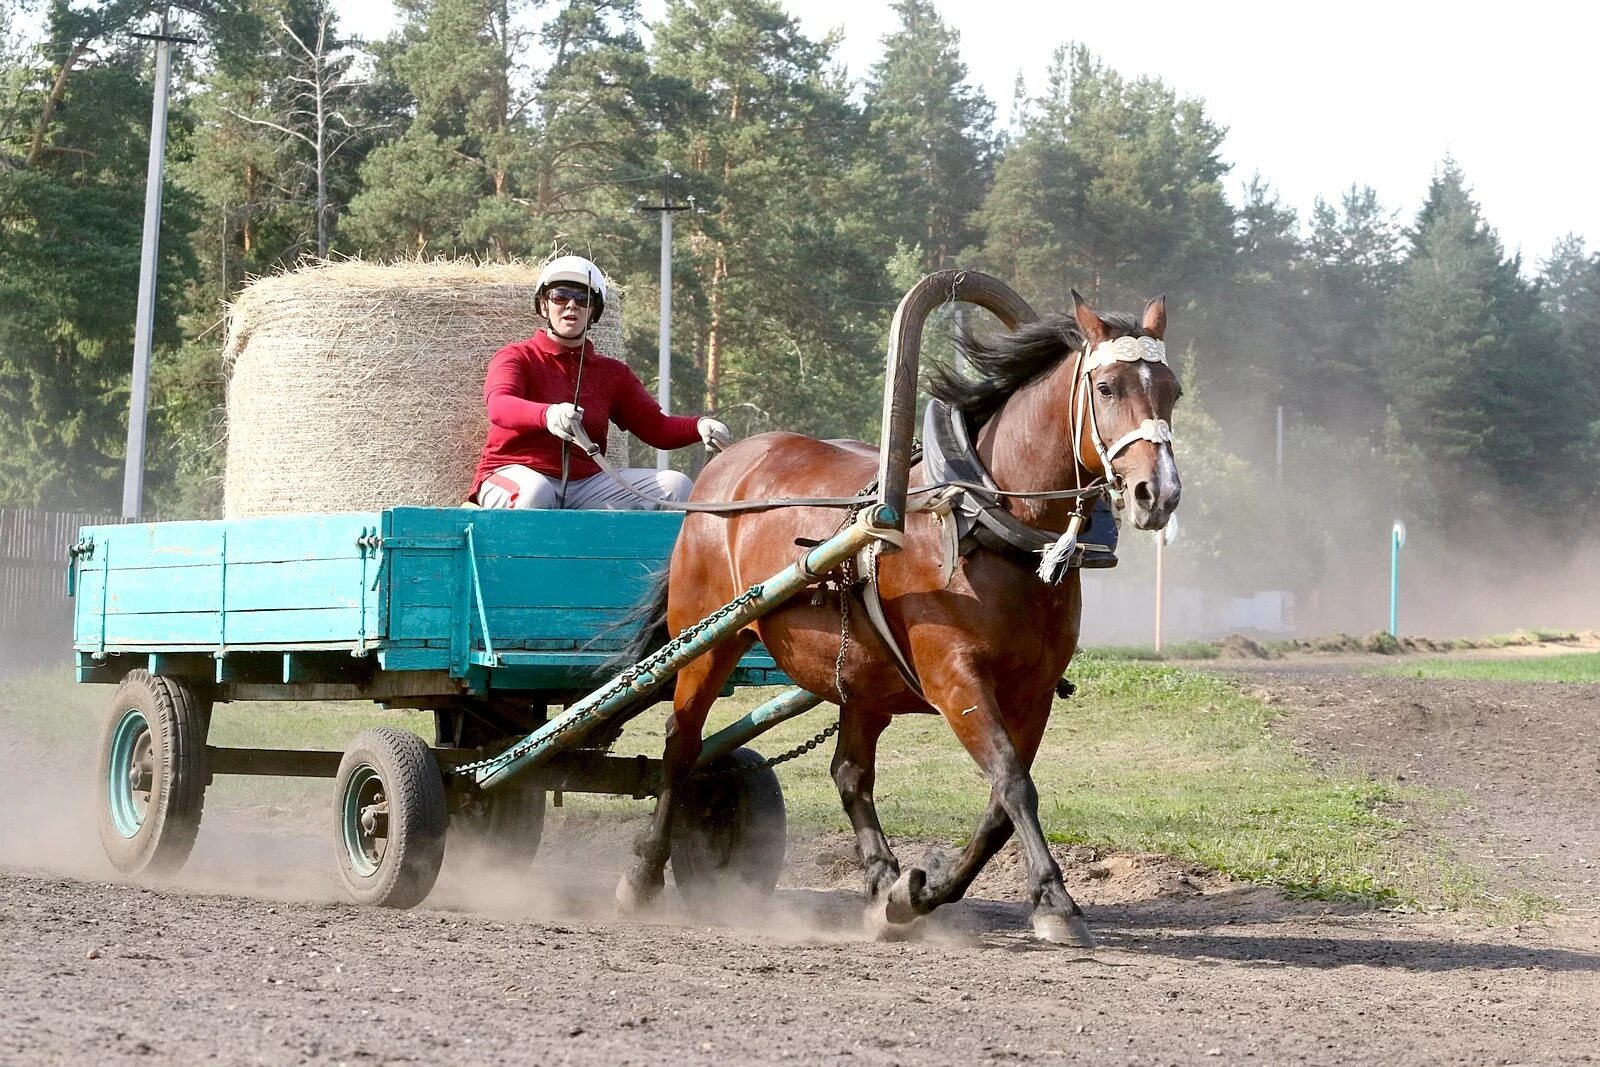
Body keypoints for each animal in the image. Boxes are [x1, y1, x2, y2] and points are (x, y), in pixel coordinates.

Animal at [617, 287, 1184, 947]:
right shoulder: (956, 680)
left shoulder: (1034, 691)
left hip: (861, 677)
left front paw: (921, 892)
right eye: (1108, 388)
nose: (1158, 493)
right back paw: (643, 874)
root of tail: (727, 466)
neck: (984, 525)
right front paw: (1055, 900)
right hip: (708, 642)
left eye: (1172, 390)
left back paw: (883, 878)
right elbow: (1014, 782)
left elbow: (1000, 803)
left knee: (848, 772)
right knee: (681, 747)